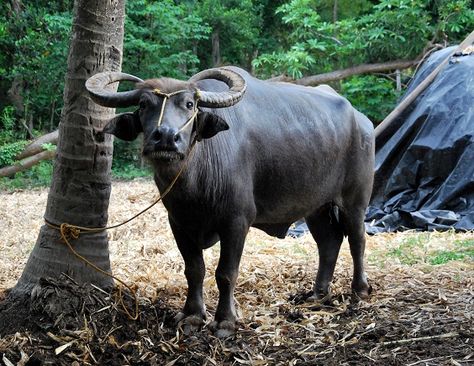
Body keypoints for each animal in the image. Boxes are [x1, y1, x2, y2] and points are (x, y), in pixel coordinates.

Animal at [85, 66, 374, 338]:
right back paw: (318, 294)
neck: (195, 182)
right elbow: (194, 269)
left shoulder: (236, 221)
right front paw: (192, 315)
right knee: (328, 243)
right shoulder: (178, 223)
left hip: (355, 199)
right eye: (144, 104)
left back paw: (359, 289)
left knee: (357, 239)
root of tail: (361, 120)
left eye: (189, 104)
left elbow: (225, 273)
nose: (166, 137)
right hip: (317, 206)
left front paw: (225, 321)